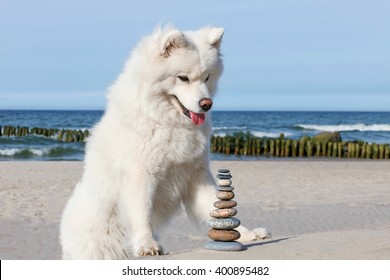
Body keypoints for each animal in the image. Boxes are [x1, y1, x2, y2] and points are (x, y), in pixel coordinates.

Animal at [59, 25, 270, 258]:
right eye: (183, 78)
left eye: (206, 77)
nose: (207, 104)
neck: (167, 121)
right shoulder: (140, 176)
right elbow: (142, 214)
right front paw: (147, 245)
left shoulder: (196, 175)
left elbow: (215, 207)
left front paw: (247, 234)